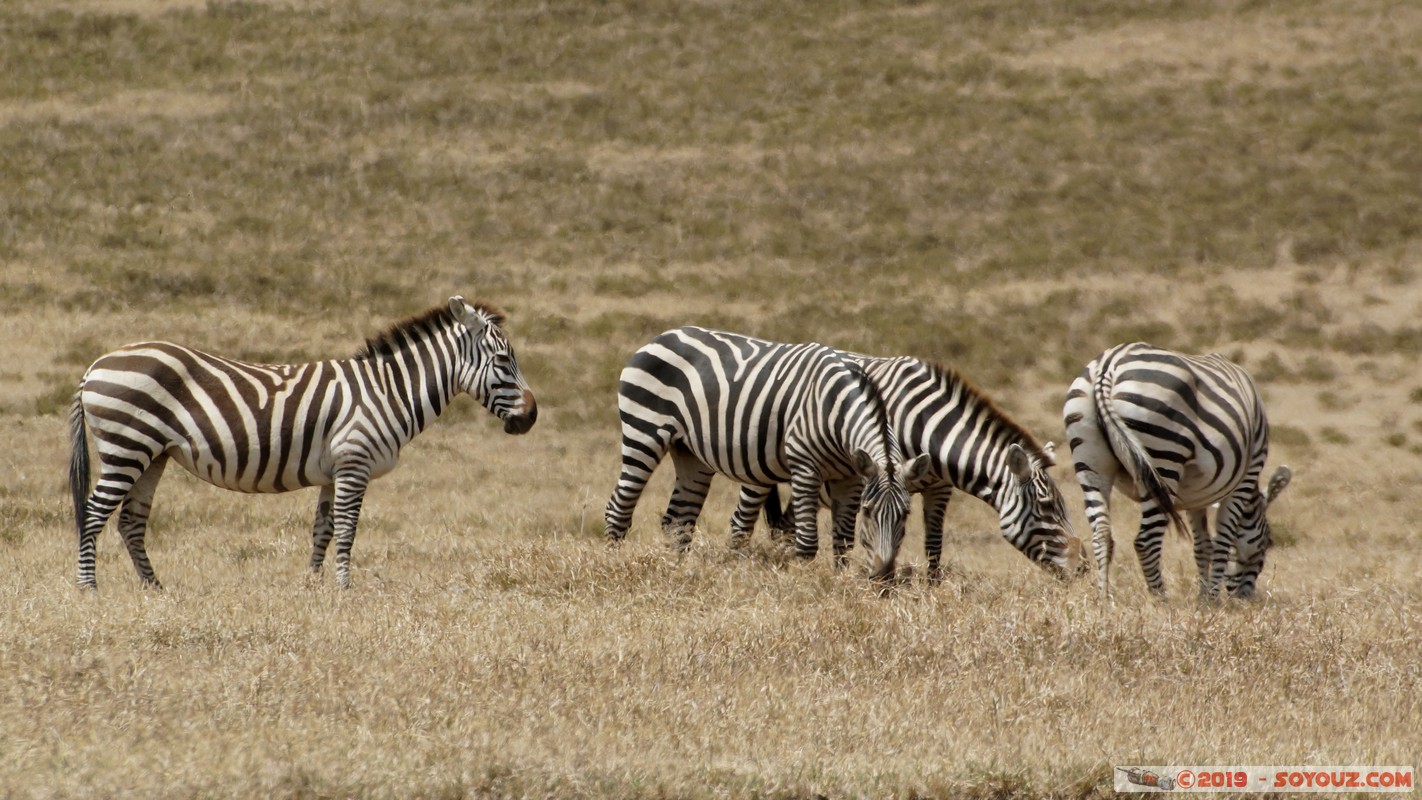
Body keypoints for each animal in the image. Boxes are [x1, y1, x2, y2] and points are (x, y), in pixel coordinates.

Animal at [68, 295, 537, 590]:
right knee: (93, 512)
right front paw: (345, 587)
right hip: (126, 447)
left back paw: (154, 586)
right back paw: (88, 586)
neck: (387, 390)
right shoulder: (354, 462)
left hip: (153, 454)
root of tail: (94, 367)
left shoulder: (335, 470)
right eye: (502, 360)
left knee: (131, 521)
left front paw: (313, 585)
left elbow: (323, 529)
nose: (531, 417)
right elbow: (347, 529)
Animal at [603, 326, 931, 579]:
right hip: (644, 432)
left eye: (906, 514)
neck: (835, 409)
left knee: (677, 522)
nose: (883, 576)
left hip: (689, 454)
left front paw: (839, 583)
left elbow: (843, 541)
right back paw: (613, 566)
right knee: (618, 509)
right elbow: (808, 541)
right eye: (869, 511)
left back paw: (676, 571)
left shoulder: (849, 478)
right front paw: (806, 584)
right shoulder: (805, 466)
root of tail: (662, 336)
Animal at [742, 355, 1085, 581]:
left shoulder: (939, 488)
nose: (1082, 567)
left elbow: (934, 543)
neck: (924, 426)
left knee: (784, 524)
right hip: (761, 470)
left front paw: (932, 587)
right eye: (1046, 507)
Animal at [1062, 342, 1289, 599]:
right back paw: (1160, 599)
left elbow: (1203, 545)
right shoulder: (1245, 477)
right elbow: (1222, 541)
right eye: (1267, 543)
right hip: (1163, 456)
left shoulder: (1196, 494)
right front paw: (1213, 599)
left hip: (1090, 462)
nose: (1246, 598)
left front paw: (1203, 599)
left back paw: (1103, 597)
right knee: (1145, 541)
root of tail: (1109, 363)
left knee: (1101, 534)